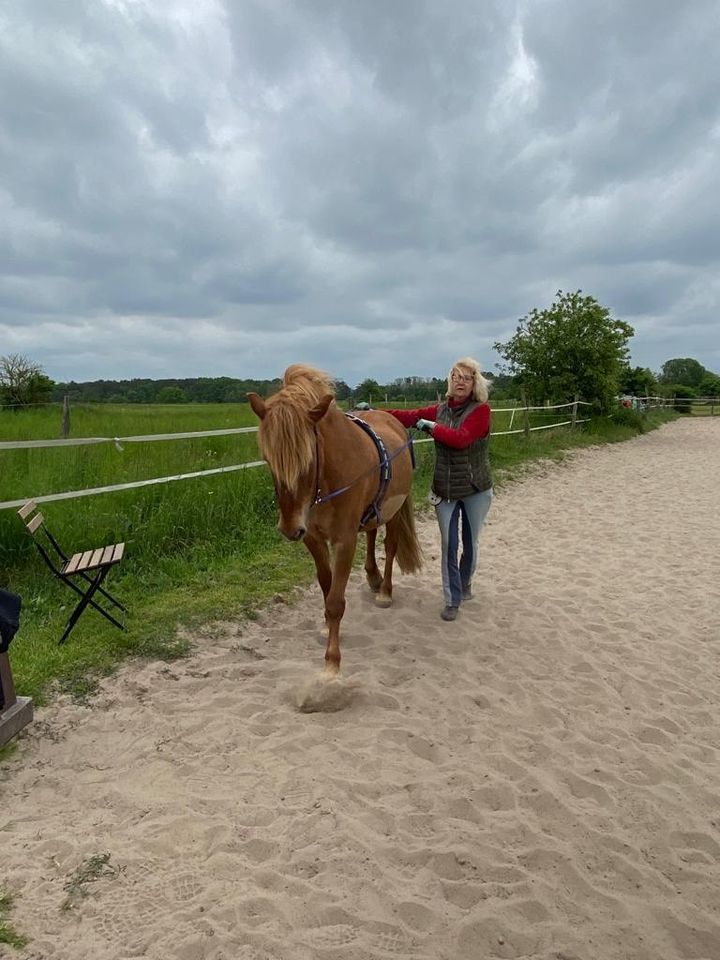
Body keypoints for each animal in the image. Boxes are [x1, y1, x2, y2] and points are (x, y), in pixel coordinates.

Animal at [250, 366, 424, 676]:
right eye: (268, 459)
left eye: (307, 458)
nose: (289, 528)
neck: (326, 482)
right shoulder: (313, 538)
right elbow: (326, 586)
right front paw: (325, 628)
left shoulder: (344, 541)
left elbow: (335, 601)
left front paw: (332, 662)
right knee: (371, 535)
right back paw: (373, 577)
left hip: (394, 510)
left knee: (390, 546)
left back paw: (385, 591)